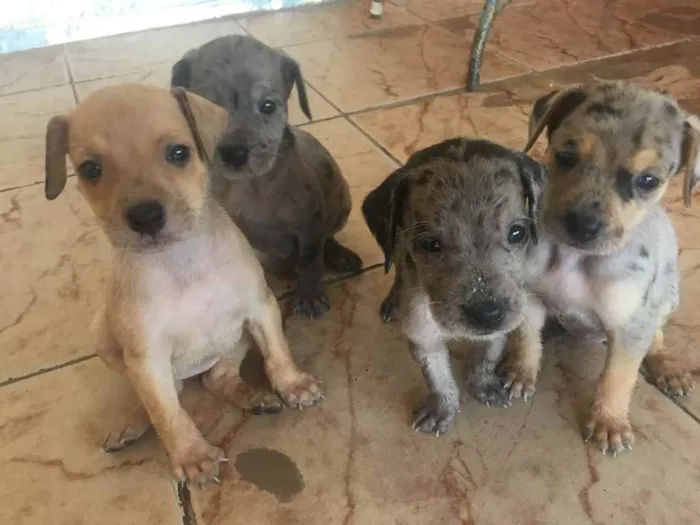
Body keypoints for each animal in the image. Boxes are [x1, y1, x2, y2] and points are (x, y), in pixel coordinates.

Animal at [45, 84, 324, 482]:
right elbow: (168, 414)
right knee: (166, 392)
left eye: (179, 153)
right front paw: (191, 455)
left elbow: (278, 352)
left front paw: (293, 385)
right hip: (104, 333)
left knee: (217, 377)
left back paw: (253, 396)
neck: (182, 261)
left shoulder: (261, 309)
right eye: (90, 169)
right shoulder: (147, 358)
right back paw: (132, 423)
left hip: (234, 341)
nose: (145, 216)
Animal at [360, 136, 548, 434]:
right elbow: (438, 378)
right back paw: (392, 302)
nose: (487, 314)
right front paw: (442, 408)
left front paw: (484, 386)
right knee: (398, 268)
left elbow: (486, 356)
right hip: (397, 244)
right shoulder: (423, 335)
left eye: (517, 233)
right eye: (429, 244)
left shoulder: (498, 327)